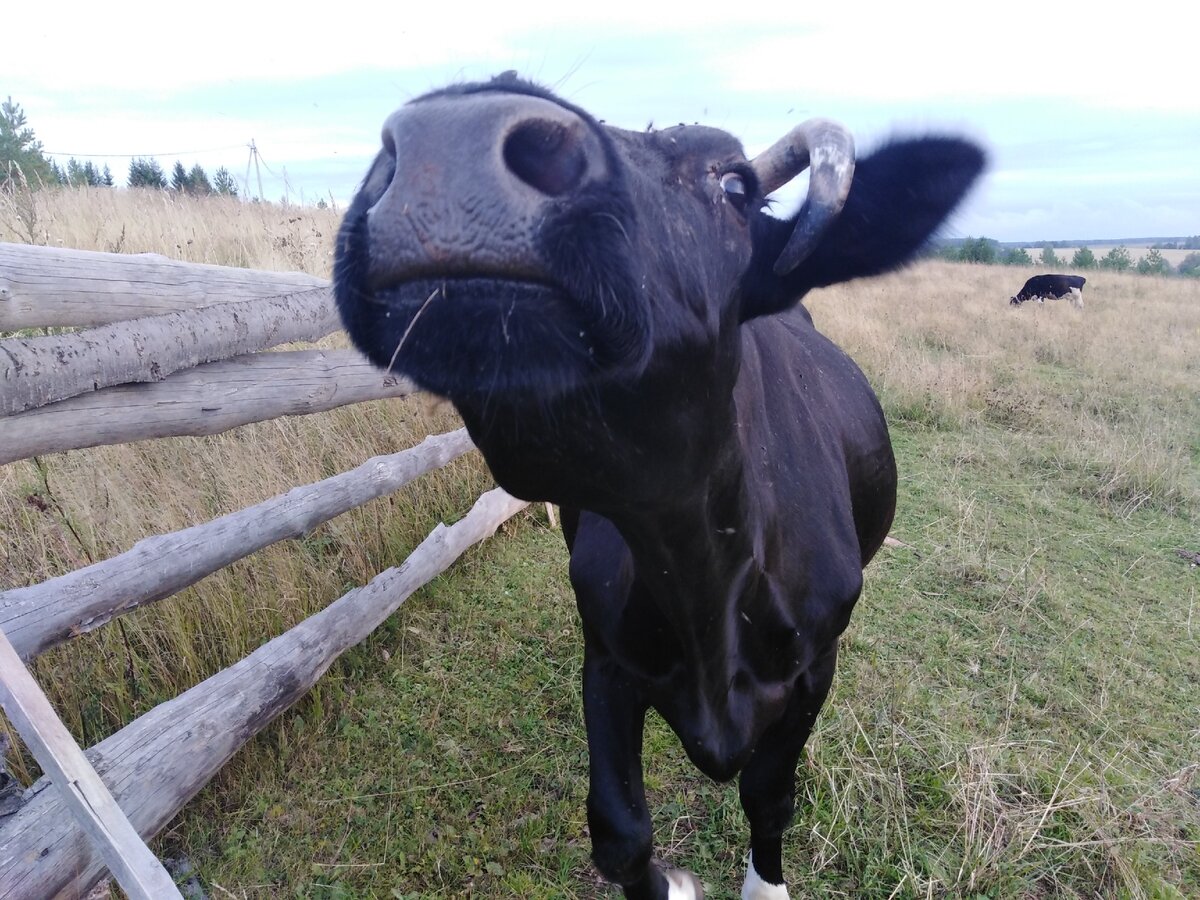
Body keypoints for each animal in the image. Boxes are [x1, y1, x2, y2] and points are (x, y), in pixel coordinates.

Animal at [331, 74, 984, 897]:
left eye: (734, 186)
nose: (449, 141)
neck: (697, 569)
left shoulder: (815, 667)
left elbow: (769, 796)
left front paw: (765, 885)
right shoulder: (607, 658)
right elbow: (619, 832)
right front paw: (671, 882)